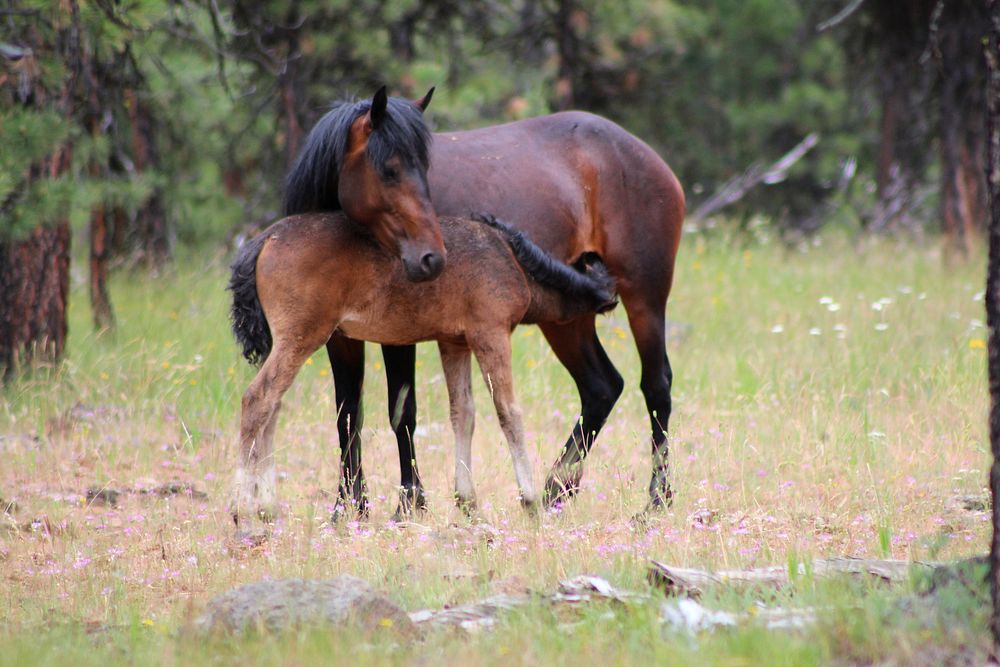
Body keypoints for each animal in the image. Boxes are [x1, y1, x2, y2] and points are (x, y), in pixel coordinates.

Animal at [286, 90, 684, 516]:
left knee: (656, 387)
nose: (429, 258)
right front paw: (349, 507)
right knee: (602, 388)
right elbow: (348, 415)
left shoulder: (398, 333)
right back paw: (555, 490)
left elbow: (401, 412)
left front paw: (409, 503)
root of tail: (649, 158)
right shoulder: (339, 336)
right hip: (565, 314)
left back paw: (656, 499)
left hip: (644, 299)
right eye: (390, 170)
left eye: (425, 169)